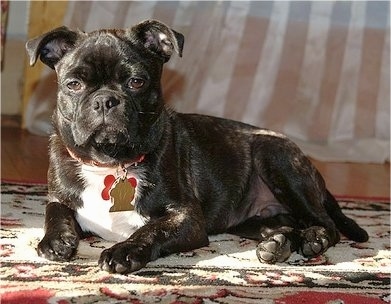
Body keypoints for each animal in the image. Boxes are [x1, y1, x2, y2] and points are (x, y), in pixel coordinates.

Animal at [26, 20, 370, 274]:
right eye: (73, 84)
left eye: (136, 82)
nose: (105, 100)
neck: (110, 162)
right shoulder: (59, 196)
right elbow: (54, 211)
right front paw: (56, 241)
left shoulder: (187, 218)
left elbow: (150, 230)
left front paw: (123, 251)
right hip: (253, 220)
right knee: (284, 225)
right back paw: (278, 244)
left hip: (276, 159)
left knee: (325, 223)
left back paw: (312, 241)